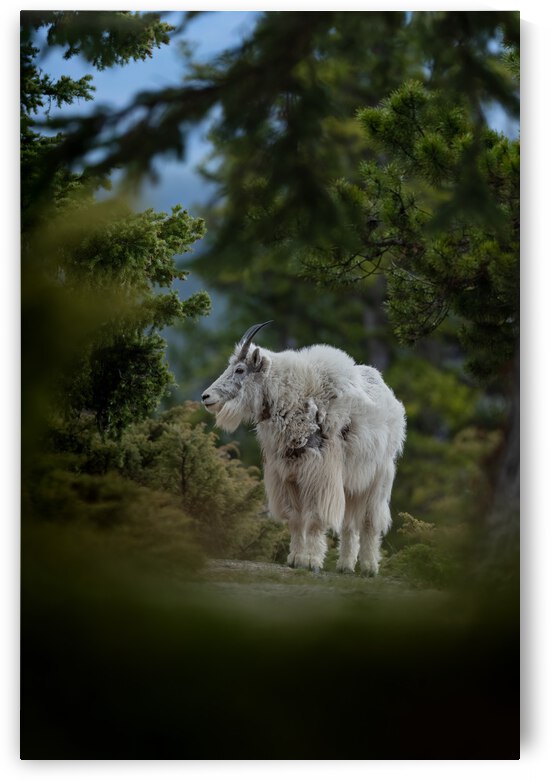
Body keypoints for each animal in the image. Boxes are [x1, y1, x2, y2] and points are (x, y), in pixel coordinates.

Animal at [201, 322, 406, 575]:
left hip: (379, 475)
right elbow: (295, 518)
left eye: (240, 369)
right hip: (351, 481)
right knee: (349, 523)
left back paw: (368, 568)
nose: (206, 397)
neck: (292, 398)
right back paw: (345, 566)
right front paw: (295, 559)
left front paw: (311, 561)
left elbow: (316, 518)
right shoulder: (287, 476)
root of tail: (391, 398)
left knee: (370, 520)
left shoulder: (320, 475)